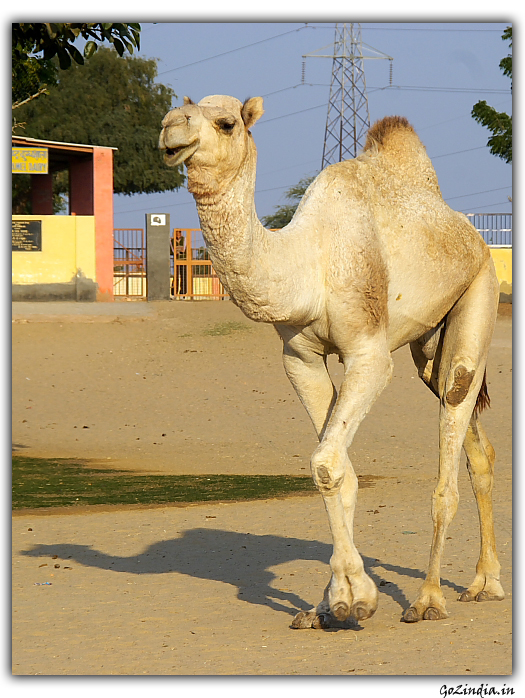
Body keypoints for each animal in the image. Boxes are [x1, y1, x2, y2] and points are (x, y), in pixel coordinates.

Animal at [159, 95, 504, 628]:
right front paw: (331, 604)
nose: (171, 128)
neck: (308, 262)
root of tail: (469, 233)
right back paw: (485, 583)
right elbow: (339, 469)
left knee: (454, 421)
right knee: (471, 436)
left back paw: (429, 598)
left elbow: (325, 462)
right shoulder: (299, 357)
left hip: (481, 289)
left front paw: (353, 598)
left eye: (226, 122)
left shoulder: (368, 354)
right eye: (180, 111)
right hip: (429, 346)